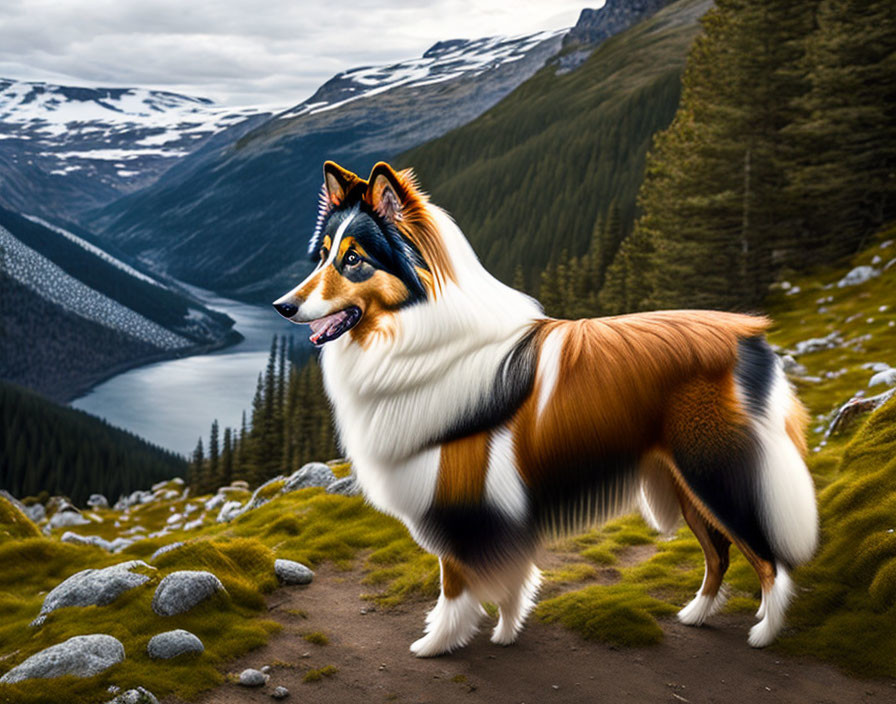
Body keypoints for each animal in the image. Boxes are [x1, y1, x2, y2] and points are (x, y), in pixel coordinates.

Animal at [272, 160, 820, 656]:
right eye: (323, 255)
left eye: (354, 260)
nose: (283, 306)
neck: (412, 332)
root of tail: (747, 334)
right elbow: (509, 578)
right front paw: (506, 630)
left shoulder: (460, 498)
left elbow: (455, 583)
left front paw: (438, 643)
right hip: (686, 482)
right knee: (720, 552)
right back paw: (696, 614)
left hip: (716, 473)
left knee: (767, 559)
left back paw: (765, 633)